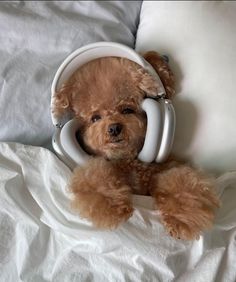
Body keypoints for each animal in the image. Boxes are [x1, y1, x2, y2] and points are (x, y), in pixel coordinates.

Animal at [53, 51, 219, 240]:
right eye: (95, 118)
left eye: (127, 110)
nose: (114, 128)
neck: (127, 160)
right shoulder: (94, 171)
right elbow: (95, 176)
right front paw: (115, 209)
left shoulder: (166, 167)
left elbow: (181, 181)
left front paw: (180, 220)